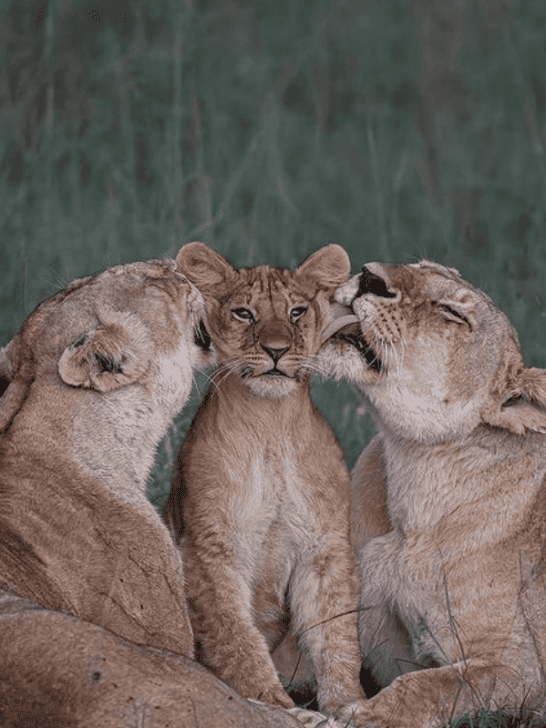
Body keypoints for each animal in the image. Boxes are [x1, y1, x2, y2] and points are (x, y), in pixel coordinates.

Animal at [163, 242, 368, 724]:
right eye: (244, 313)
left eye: (296, 312)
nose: (276, 350)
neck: (270, 424)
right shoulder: (210, 547)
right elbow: (235, 634)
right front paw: (275, 704)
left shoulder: (324, 546)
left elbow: (336, 634)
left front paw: (349, 704)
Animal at [318, 260, 546, 727]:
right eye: (422, 267)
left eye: (451, 313)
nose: (370, 276)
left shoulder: (519, 669)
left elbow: (425, 686)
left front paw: (362, 714)